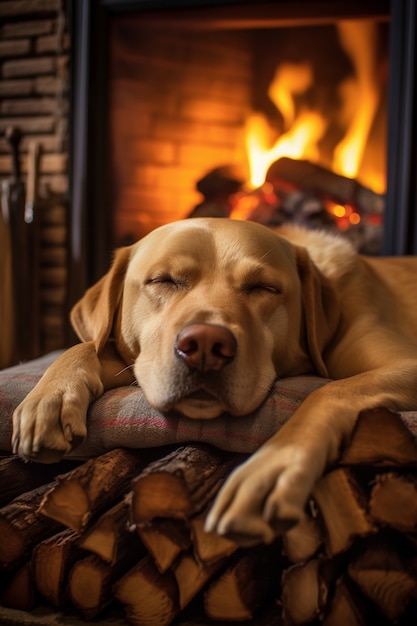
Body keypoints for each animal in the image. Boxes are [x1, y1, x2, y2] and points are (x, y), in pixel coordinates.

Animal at [10, 217, 417, 544]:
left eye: (263, 288)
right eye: (164, 280)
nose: (205, 345)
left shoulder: (406, 364)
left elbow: (328, 391)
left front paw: (271, 469)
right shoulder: (134, 361)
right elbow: (85, 347)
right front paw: (49, 399)